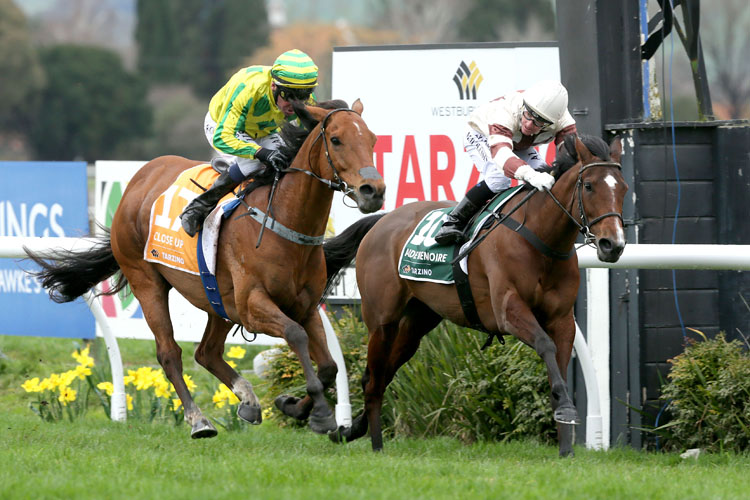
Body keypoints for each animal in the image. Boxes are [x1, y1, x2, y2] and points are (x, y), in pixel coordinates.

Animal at [27, 98, 388, 438]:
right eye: (337, 140)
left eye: (372, 139)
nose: (374, 191)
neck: (283, 221)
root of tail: (141, 177)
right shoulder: (253, 305)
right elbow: (295, 335)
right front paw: (321, 413)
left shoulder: (306, 307)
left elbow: (328, 366)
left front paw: (293, 406)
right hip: (146, 279)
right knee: (169, 352)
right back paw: (198, 419)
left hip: (219, 300)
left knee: (206, 353)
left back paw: (248, 401)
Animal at [324, 135, 628, 456]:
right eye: (589, 186)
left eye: (623, 188)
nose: (612, 245)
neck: (540, 238)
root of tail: (382, 220)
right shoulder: (507, 310)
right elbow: (545, 345)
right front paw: (567, 413)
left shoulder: (562, 319)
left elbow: (558, 364)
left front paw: (566, 445)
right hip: (382, 321)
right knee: (374, 379)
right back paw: (376, 445)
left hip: (417, 322)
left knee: (382, 373)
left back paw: (351, 431)